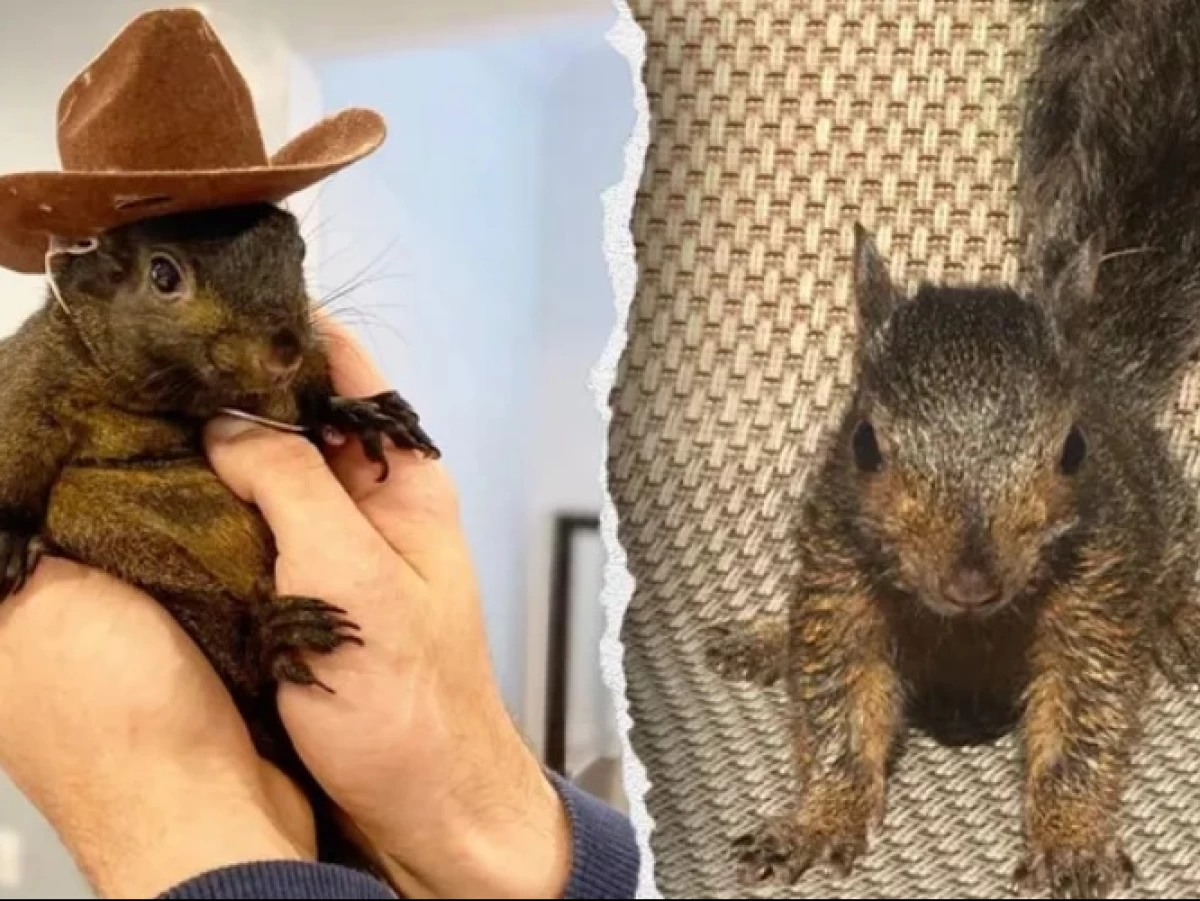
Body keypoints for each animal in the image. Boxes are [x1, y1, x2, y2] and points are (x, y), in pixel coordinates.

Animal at [705, 3, 1200, 897]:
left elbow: (1085, 721)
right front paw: (817, 819)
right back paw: (763, 638)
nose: (972, 578)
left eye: (1073, 448)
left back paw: (1182, 621)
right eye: (865, 442)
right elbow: (837, 704)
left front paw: (1070, 839)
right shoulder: (839, 576)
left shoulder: (1100, 591)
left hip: (1169, 520)